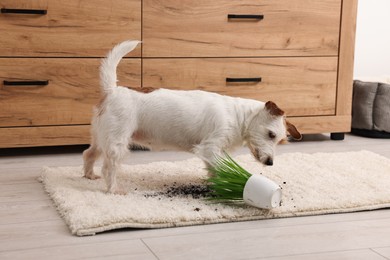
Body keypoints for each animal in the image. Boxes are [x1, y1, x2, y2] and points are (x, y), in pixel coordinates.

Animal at [82, 40, 302, 194]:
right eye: (271, 135)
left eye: (280, 141)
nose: (270, 163)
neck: (239, 116)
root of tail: (112, 90)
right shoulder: (210, 148)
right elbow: (219, 164)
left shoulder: (212, 152)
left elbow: (212, 169)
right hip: (117, 142)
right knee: (109, 168)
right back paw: (113, 189)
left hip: (101, 137)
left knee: (89, 154)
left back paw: (89, 175)